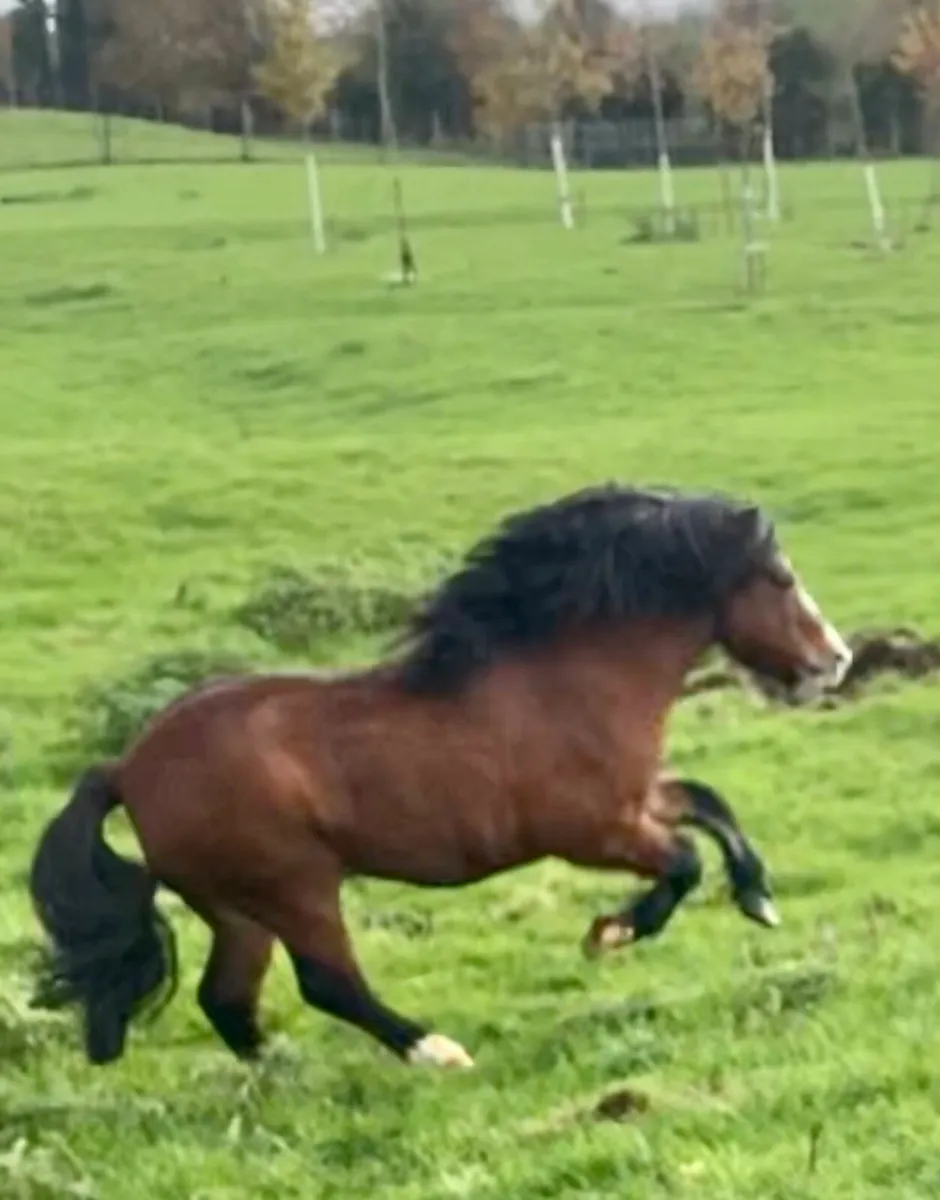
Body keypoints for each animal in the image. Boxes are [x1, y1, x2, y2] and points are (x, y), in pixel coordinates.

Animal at [29, 483, 852, 1071]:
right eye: (780, 578)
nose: (835, 660)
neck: (565, 679)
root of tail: (127, 766)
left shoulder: (635, 800)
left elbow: (710, 806)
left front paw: (759, 899)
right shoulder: (591, 831)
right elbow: (682, 863)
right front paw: (608, 934)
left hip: (236, 907)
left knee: (228, 999)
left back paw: (282, 1075)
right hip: (293, 886)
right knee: (327, 983)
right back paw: (437, 1052)